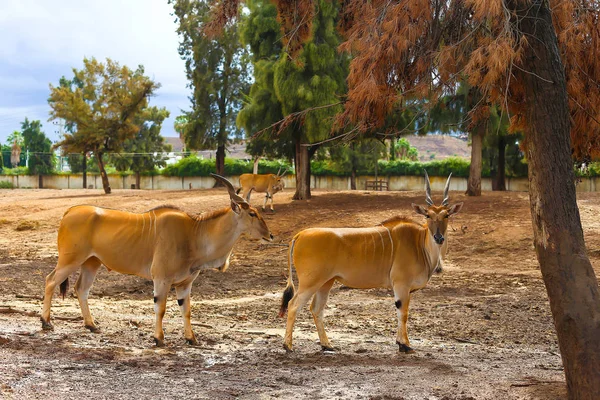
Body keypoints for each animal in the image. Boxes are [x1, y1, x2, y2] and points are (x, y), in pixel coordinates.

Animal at [278, 172, 462, 354]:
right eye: (428, 215)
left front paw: (400, 343)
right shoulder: (401, 284)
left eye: (446, 215)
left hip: (325, 282)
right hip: (310, 282)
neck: (419, 242)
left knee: (316, 309)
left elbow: (400, 312)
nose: (439, 237)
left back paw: (327, 345)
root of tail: (300, 235)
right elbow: (403, 313)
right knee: (293, 305)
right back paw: (288, 345)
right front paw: (405, 345)